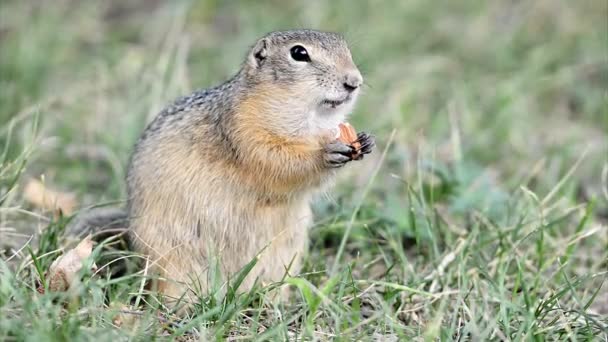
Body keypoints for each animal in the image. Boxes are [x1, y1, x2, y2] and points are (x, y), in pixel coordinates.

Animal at [71, 28, 376, 308]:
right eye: (299, 53)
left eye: (344, 46)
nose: (354, 82)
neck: (310, 120)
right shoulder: (244, 130)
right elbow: (277, 161)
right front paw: (325, 153)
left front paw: (366, 141)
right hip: (174, 263)